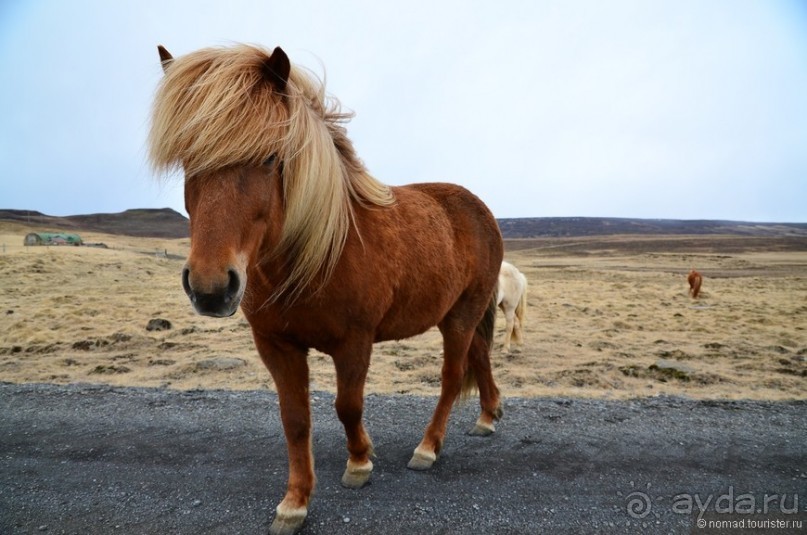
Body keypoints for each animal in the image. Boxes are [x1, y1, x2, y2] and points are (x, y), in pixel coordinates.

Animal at [150, 45, 504, 535]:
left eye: (270, 157)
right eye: (187, 160)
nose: (211, 287)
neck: (318, 253)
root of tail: (480, 209)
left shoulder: (354, 342)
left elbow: (347, 407)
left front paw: (359, 463)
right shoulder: (276, 345)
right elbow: (296, 419)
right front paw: (295, 502)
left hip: (461, 316)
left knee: (452, 377)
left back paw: (428, 448)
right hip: (459, 315)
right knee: (481, 357)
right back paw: (488, 417)